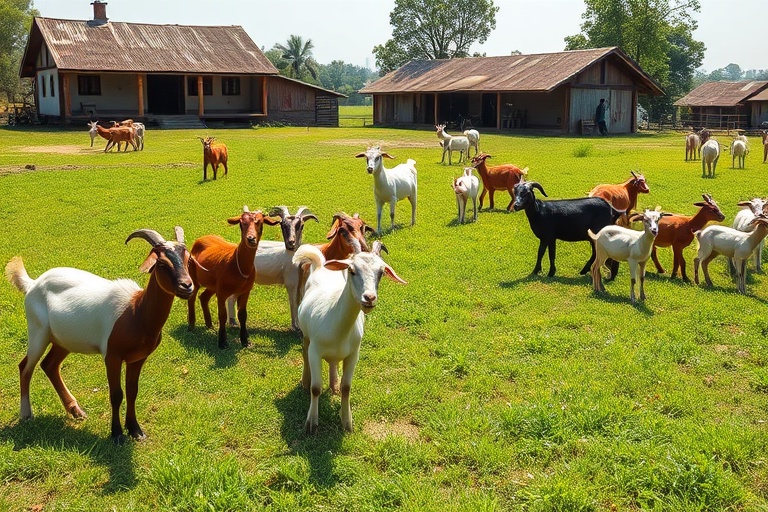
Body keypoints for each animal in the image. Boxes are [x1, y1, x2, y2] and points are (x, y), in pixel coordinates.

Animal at [5, 227, 194, 442]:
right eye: (162, 263)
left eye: (188, 260)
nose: (187, 286)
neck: (136, 311)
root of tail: (32, 284)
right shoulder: (112, 355)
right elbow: (116, 394)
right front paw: (117, 434)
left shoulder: (138, 358)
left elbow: (132, 391)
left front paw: (135, 430)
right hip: (38, 331)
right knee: (25, 367)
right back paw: (26, 414)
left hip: (63, 340)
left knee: (49, 365)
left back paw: (76, 411)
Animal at [187, 206, 280, 348]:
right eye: (241, 224)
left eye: (260, 222)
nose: (251, 238)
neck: (237, 265)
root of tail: (202, 237)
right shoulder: (222, 292)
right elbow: (222, 315)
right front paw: (222, 342)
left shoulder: (245, 291)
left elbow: (242, 315)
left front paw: (244, 340)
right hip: (193, 274)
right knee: (192, 297)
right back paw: (191, 325)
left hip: (213, 284)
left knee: (203, 297)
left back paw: (209, 324)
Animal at [293, 240, 406, 433]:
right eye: (352, 270)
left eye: (381, 273)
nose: (369, 298)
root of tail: (320, 266)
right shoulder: (315, 351)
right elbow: (316, 388)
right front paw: (311, 423)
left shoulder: (354, 354)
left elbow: (347, 388)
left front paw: (347, 422)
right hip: (306, 335)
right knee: (304, 354)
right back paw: (305, 382)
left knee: (333, 362)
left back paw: (334, 384)